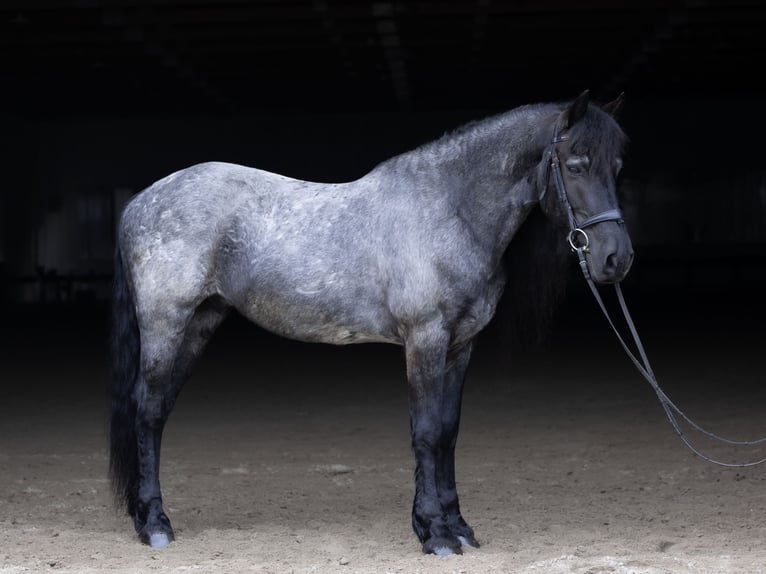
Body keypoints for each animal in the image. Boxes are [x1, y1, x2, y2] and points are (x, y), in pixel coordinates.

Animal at [109, 89, 633, 555]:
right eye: (576, 164)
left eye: (617, 167)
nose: (616, 259)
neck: (448, 209)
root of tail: (142, 201)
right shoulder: (425, 338)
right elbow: (426, 431)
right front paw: (435, 535)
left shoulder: (460, 345)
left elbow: (448, 432)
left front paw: (459, 527)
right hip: (166, 324)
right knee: (148, 411)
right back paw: (155, 526)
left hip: (200, 322)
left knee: (158, 412)